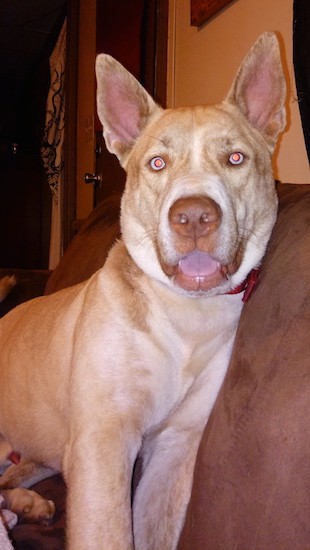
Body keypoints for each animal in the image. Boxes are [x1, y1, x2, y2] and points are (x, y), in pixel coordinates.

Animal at [0, 32, 286, 548]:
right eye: (157, 163)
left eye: (235, 157)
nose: (193, 217)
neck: (185, 315)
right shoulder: (102, 442)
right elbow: (108, 532)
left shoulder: (174, 450)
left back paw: (26, 506)